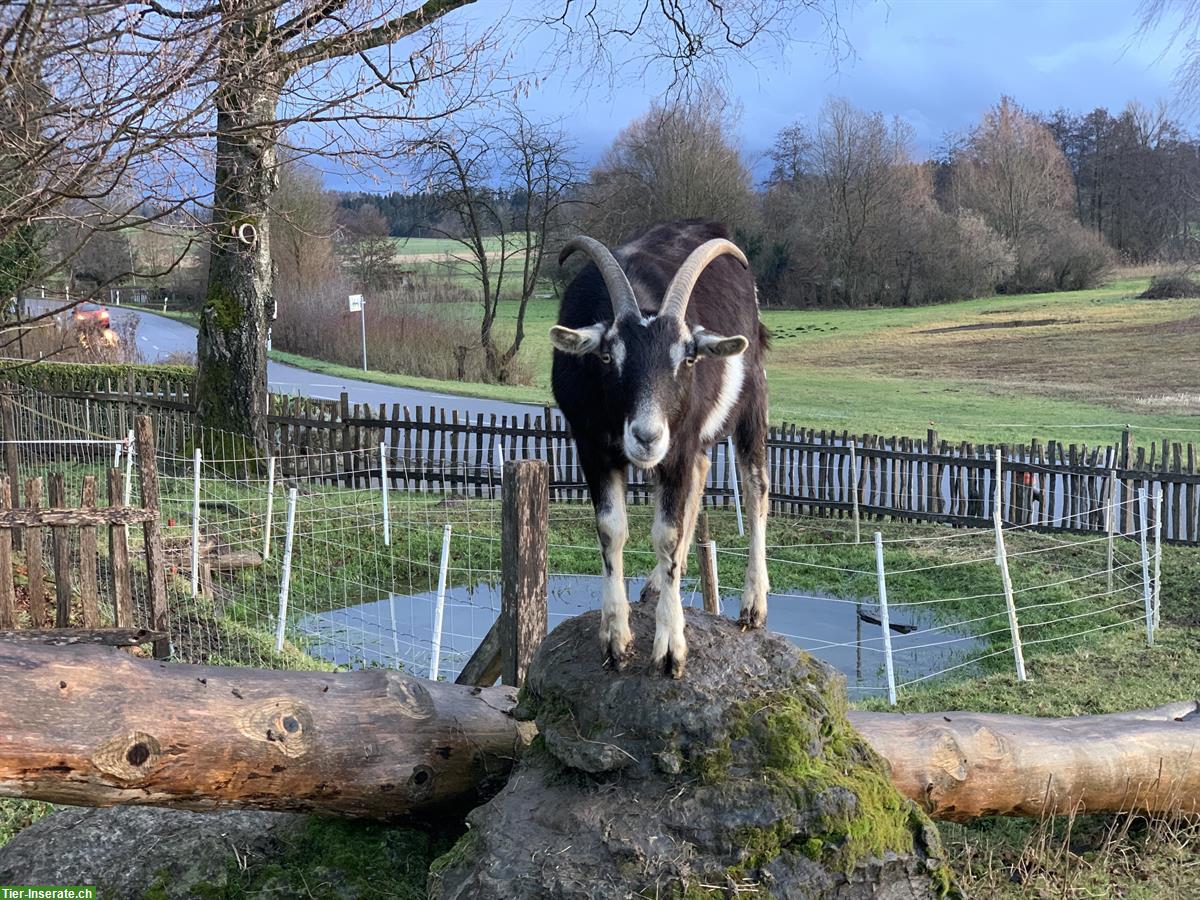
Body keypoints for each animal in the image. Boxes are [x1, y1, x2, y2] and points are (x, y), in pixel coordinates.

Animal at [549, 222, 768, 681]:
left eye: (688, 359)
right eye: (607, 356)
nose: (647, 437)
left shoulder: (677, 446)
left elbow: (667, 533)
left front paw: (671, 650)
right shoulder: (590, 446)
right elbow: (611, 529)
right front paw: (615, 639)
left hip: (753, 394)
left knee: (756, 487)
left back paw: (754, 606)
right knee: (702, 472)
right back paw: (657, 584)